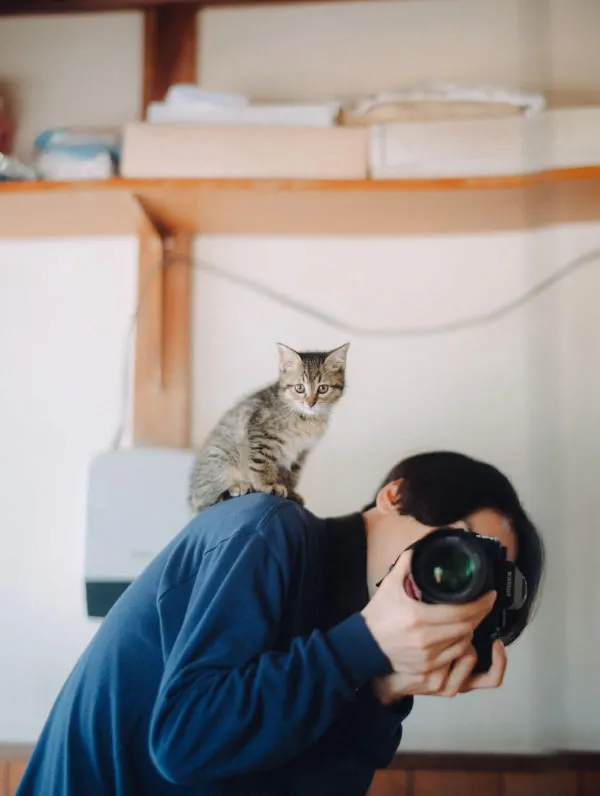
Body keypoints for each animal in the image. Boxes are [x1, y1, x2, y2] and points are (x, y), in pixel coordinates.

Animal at [186, 338, 346, 512]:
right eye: (299, 388)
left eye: (323, 388)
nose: (310, 403)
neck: (306, 419)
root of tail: (191, 498)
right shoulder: (261, 435)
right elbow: (262, 463)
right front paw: (267, 485)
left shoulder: (300, 453)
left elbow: (292, 475)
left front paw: (290, 492)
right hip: (219, 456)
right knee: (208, 499)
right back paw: (236, 486)